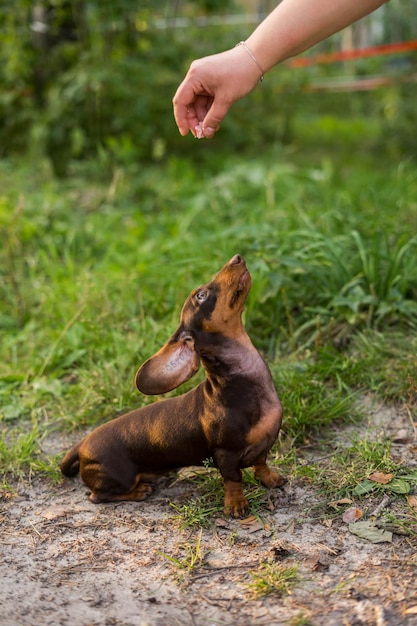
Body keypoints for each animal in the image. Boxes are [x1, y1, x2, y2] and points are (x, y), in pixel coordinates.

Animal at [61, 254, 282, 516]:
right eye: (200, 295)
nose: (236, 258)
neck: (241, 382)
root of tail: (82, 444)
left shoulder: (263, 445)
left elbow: (261, 464)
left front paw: (270, 479)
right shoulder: (225, 454)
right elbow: (233, 479)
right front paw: (236, 504)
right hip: (117, 477)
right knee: (97, 496)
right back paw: (138, 492)